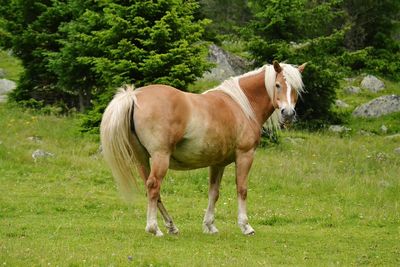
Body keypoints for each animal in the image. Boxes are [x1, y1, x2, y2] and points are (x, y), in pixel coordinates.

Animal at [100, 60, 306, 237]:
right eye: (278, 85)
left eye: (296, 88)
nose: (288, 114)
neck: (241, 105)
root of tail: (134, 96)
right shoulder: (245, 155)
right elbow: (242, 189)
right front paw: (245, 226)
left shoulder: (218, 163)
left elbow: (214, 193)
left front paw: (209, 225)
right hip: (160, 158)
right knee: (153, 187)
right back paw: (154, 228)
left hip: (142, 159)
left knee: (152, 190)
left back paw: (171, 226)